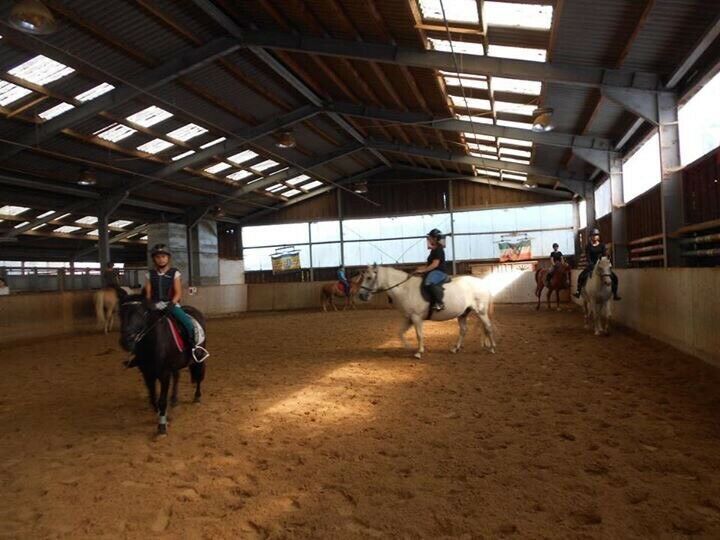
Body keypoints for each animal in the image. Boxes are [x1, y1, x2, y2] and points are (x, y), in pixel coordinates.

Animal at [115, 292, 205, 434]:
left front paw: (162, 425)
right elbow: (153, 398)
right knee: (177, 376)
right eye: (120, 313)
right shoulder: (147, 374)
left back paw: (197, 397)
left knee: (199, 376)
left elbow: (162, 400)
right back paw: (174, 399)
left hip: (199, 357)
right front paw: (160, 414)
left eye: (142, 313)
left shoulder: (164, 374)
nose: (126, 341)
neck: (152, 343)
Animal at [358, 264, 496, 358]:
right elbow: (400, 333)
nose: (361, 295)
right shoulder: (409, 318)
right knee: (463, 330)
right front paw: (408, 347)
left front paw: (419, 352)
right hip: (463, 313)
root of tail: (482, 283)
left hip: (481, 312)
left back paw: (492, 348)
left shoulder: (416, 318)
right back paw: (455, 349)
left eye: (369, 278)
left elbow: (419, 335)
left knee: (488, 327)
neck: (405, 289)